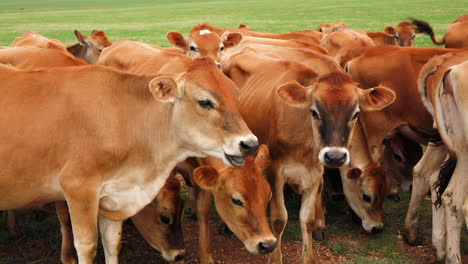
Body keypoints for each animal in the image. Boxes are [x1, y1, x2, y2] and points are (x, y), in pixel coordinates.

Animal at [0, 51, 256, 264]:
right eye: (205, 101)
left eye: (236, 96)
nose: (250, 143)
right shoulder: (78, 189)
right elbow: (86, 246)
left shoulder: (112, 198)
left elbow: (112, 244)